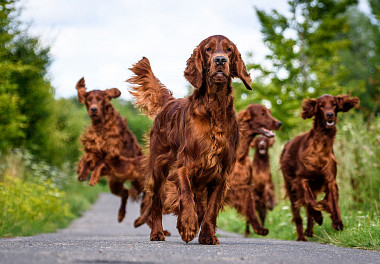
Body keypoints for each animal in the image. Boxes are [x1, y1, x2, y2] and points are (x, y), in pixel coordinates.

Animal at [75, 78, 144, 223]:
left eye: (100, 99)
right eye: (89, 99)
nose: (93, 109)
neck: (101, 125)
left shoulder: (113, 154)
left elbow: (101, 162)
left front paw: (93, 178)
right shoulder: (93, 149)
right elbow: (86, 160)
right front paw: (82, 173)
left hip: (136, 182)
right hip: (114, 184)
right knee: (125, 193)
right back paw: (121, 215)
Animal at [127, 34, 252, 244]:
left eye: (229, 50)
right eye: (208, 49)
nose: (220, 60)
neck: (214, 108)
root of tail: (169, 103)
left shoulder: (221, 173)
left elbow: (211, 208)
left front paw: (208, 235)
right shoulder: (183, 166)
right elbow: (185, 192)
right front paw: (187, 225)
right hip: (158, 167)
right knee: (156, 203)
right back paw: (157, 233)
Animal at [282, 94, 360, 240]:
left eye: (334, 104)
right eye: (321, 105)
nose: (330, 115)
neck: (320, 145)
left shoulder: (330, 179)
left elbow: (332, 201)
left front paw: (337, 222)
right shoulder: (302, 179)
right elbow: (310, 201)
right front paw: (319, 217)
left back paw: (309, 230)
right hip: (291, 189)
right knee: (298, 214)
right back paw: (302, 236)